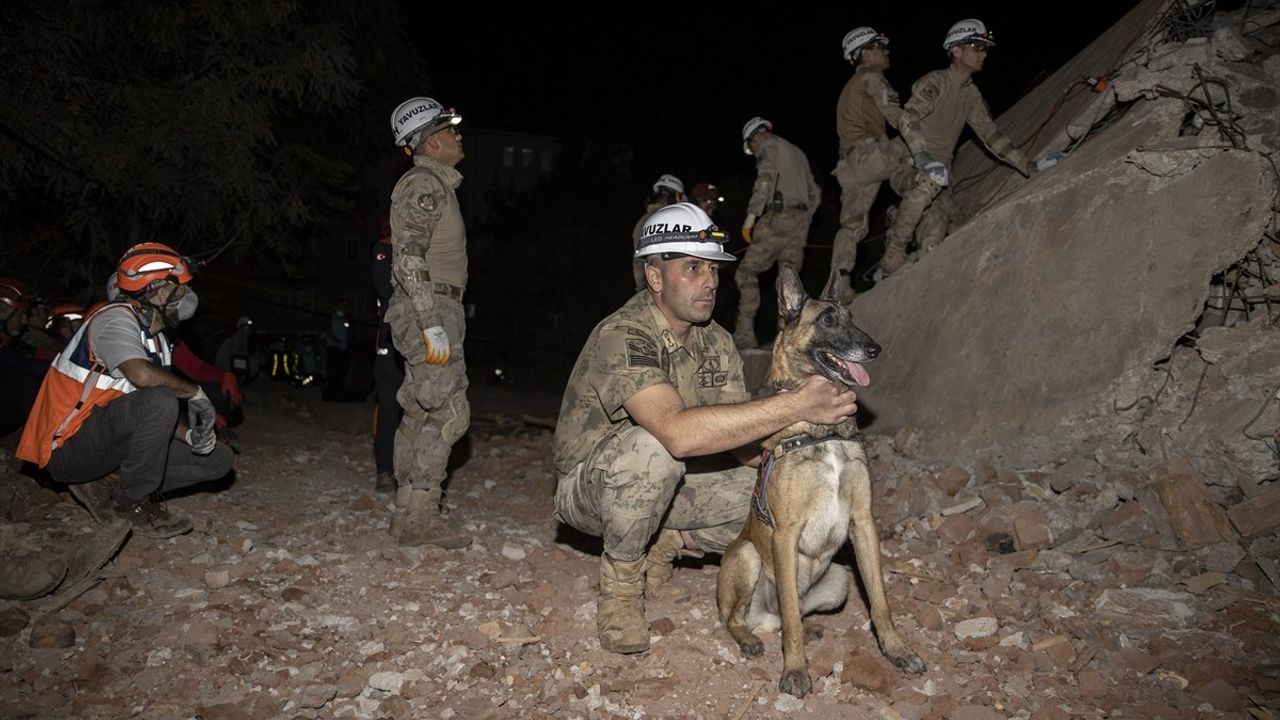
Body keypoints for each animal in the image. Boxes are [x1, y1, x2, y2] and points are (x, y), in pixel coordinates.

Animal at [721, 265, 921, 696]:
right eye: (828, 321)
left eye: (852, 317)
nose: (875, 349)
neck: (821, 432)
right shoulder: (785, 533)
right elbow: (791, 621)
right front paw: (795, 670)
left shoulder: (863, 522)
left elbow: (880, 600)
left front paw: (896, 649)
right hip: (746, 555)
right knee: (744, 619)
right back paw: (749, 639)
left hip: (839, 580)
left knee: (790, 615)